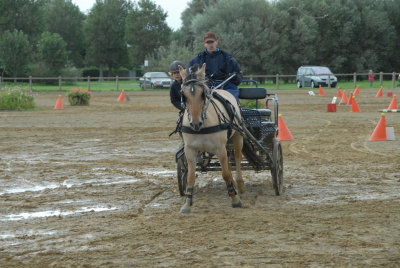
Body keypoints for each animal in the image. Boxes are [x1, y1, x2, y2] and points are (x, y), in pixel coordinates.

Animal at [180, 62, 245, 214]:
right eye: (183, 95)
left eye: (203, 94)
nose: (195, 123)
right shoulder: (189, 150)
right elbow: (190, 176)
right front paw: (187, 204)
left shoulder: (220, 148)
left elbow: (225, 174)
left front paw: (235, 200)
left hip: (238, 136)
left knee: (237, 158)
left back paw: (239, 185)